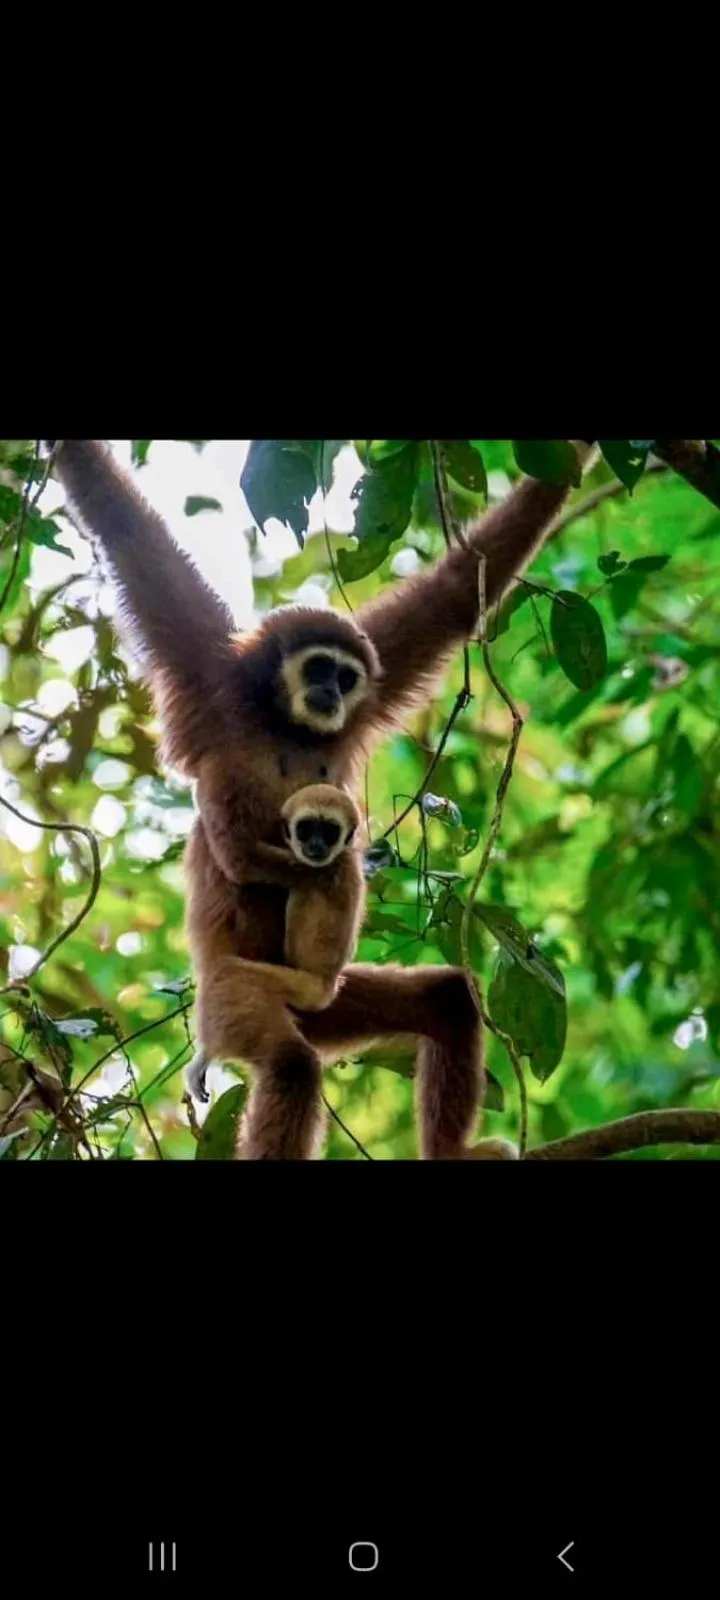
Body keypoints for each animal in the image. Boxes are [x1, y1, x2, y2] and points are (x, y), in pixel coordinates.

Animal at [186, 783, 365, 1107]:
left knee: (227, 972)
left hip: (300, 986)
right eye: (306, 828)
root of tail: (327, 986)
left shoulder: (313, 868)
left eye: (329, 831)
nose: (316, 844)